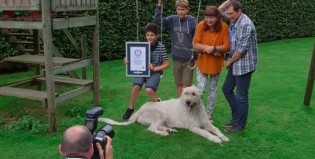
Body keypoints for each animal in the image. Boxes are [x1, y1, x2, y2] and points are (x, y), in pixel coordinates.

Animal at [99, 85, 230, 144]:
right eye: (186, 93)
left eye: (193, 94)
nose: (187, 102)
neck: (195, 110)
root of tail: (139, 110)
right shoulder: (193, 127)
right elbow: (206, 132)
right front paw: (215, 138)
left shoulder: (206, 123)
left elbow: (215, 129)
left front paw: (222, 136)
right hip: (161, 112)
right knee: (151, 128)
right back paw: (163, 133)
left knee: (158, 126)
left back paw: (170, 130)